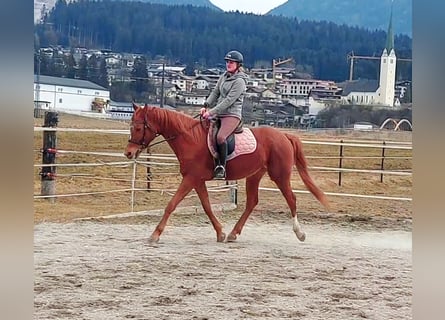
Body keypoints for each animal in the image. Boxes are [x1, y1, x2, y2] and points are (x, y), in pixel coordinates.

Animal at [123, 102, 328, 242]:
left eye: (139, 127)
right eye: (131, 126)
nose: (128, 153)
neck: (189, 138)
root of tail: (284, 135)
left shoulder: (190, 178)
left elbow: (171, 204)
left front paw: (155, 234)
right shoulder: (197, 180)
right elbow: (206, 206)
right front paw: (220, 233)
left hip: (280, 175)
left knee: (291, 199)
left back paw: (300, 233)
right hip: (255, 175)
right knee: (252, 202)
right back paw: (233, 234)